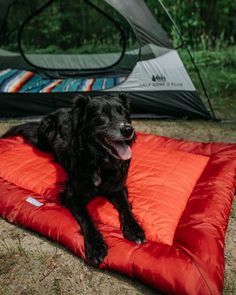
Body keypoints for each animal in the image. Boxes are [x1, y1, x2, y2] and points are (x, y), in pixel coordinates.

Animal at [1, 94, 145, 266]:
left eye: (124, 112)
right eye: (101, 115)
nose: (128, 129)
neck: (99, 163)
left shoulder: (117, 187)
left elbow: (126, 208)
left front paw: (134, 229)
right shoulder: (71, 195)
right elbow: (86, 218)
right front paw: (95, 245)